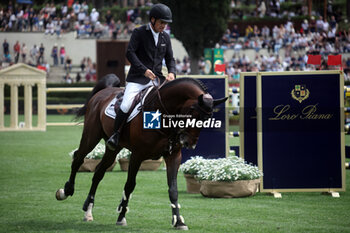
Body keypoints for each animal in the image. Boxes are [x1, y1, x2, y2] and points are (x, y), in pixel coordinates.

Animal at [55, 74, 227, 229]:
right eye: (193, 112)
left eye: (208, 118)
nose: (189, 143)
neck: (163, 115)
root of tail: (104, 92)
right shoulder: (137, 155)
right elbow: (130, 185)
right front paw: (121, 217)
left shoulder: (173, 156)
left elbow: (173, 190)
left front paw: (178, 222)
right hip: (91, 136)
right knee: (78, 158)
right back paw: (66, 191)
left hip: (113, 148)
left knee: (98, 172)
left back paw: (88, 211)